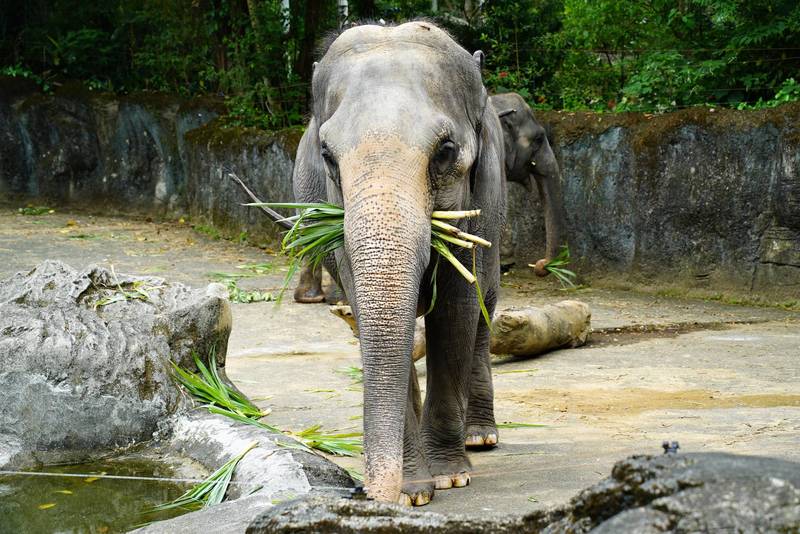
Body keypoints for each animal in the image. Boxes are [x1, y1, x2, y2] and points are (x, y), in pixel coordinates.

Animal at [290, 22, 504, 506]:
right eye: (327, 156)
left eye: (445, 150)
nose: (369, 493)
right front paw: (413, 492)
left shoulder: (482, 196)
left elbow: (457, 311)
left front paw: (449, 477)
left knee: (485, 306)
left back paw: (480, 438)